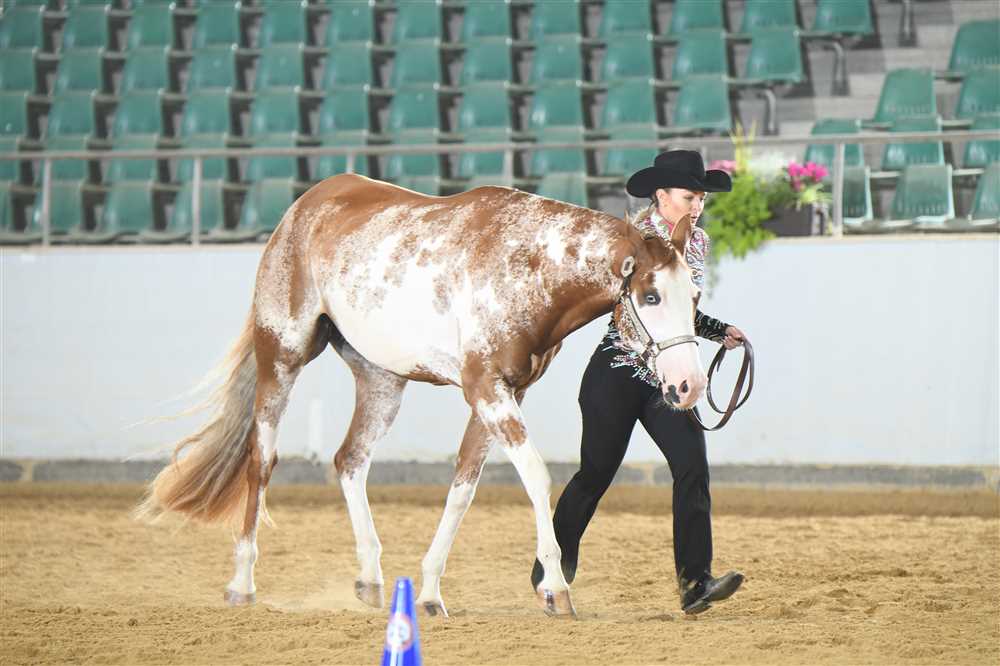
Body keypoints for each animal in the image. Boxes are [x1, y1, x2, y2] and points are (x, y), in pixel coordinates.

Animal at [137, 173, 708, 618]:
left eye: (695, 295)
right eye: (650, 296)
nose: (690, 386)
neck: (522, 262)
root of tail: (303, 207)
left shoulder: (502, 393)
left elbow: (463, 489)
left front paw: (431, 592)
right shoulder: (486, 390)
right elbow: (536, 477)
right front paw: (554, 588)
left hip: (381, 380)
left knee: (349, 460)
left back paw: (370, 580)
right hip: (281, 355)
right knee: (262, 460)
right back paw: (242, 584)